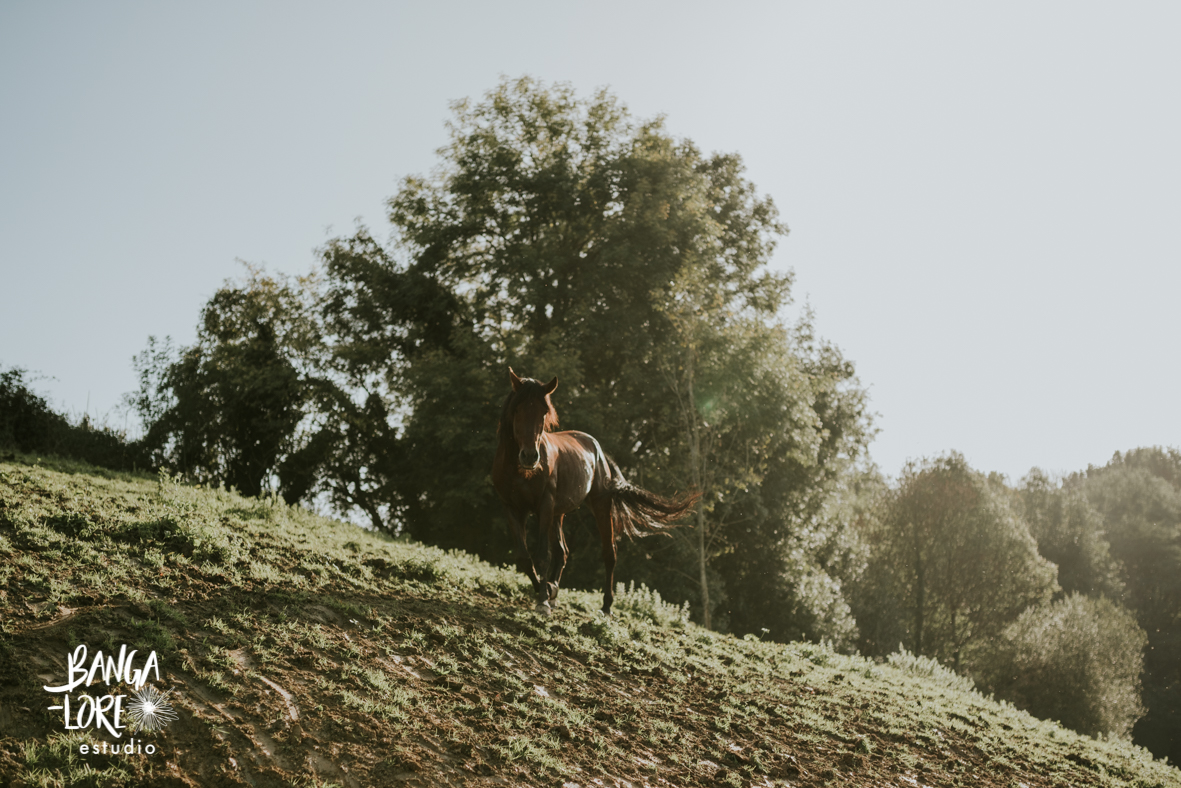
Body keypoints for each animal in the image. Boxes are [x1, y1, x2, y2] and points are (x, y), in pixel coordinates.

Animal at [491, 366, 699, 619]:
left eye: (543, 412)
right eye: (517, 409)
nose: (530, 457)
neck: (520, 471)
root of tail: (597, 447)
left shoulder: (544, 506)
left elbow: (542, 555)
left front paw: (543, 600)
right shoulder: (512, 508)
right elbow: (524, 557)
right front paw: (547, 592)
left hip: (599, 506)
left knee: (609, 554)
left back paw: (606, 606)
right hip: (558, 514)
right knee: (562, 552)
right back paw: (555, 590)